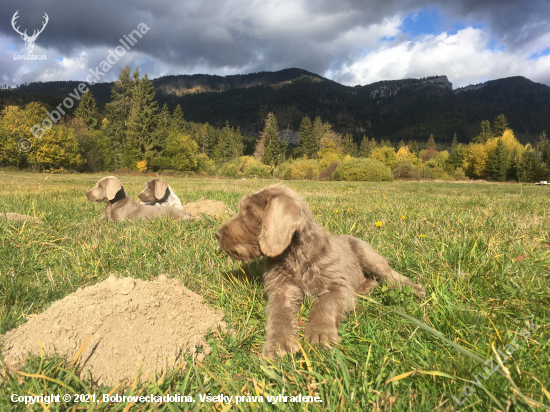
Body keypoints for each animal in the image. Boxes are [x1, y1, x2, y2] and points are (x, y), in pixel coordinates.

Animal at [217, 183, 426, 358]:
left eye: (249, 213)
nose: (217, 234)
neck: (295, 256)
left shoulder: (336, 286)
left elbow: (323, 306)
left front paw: (319, 334)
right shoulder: (281, 291)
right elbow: (279, 315)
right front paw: (278, 345)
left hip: (368, 255)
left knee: (390, 275)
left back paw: (415, 289)